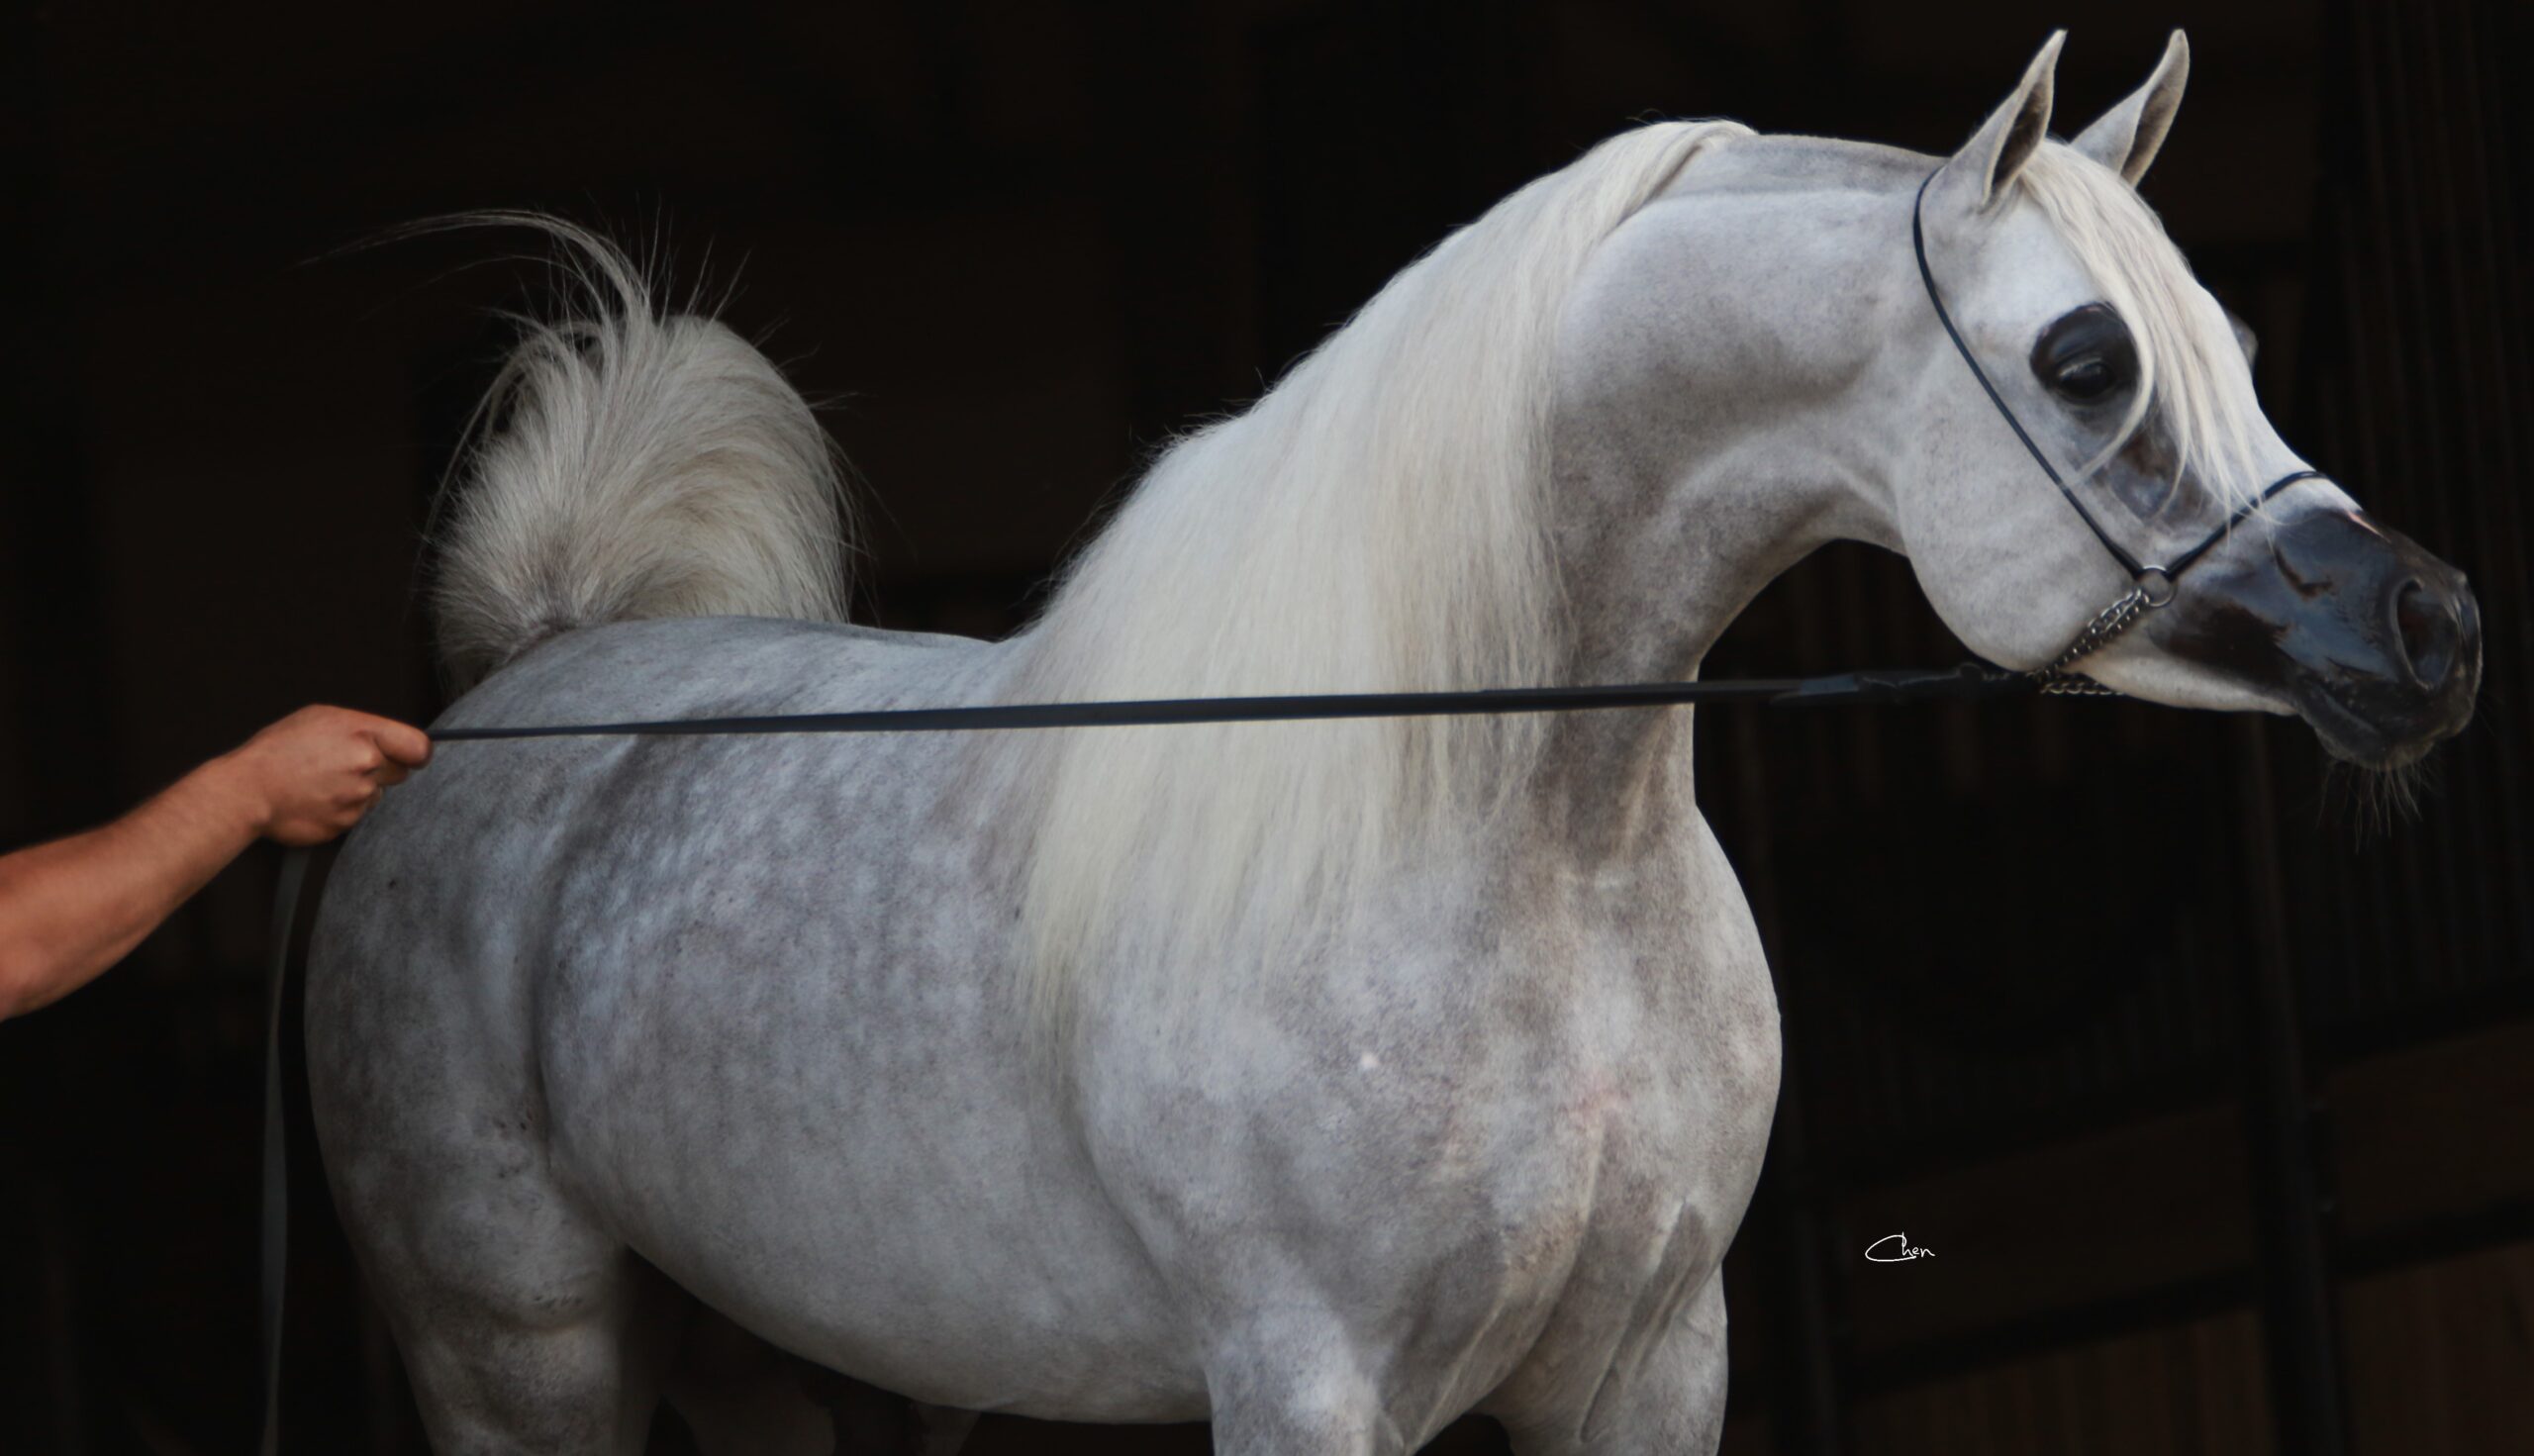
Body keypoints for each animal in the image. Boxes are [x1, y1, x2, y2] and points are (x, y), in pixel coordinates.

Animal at [308, 30, 2480, 1455]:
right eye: (2085, 361)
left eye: (2231, 342)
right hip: (524, 1361)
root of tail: (536, 671)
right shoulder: (1305, 1377)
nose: (2427, 630)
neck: (1513, 843)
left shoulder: (1647, 1366)